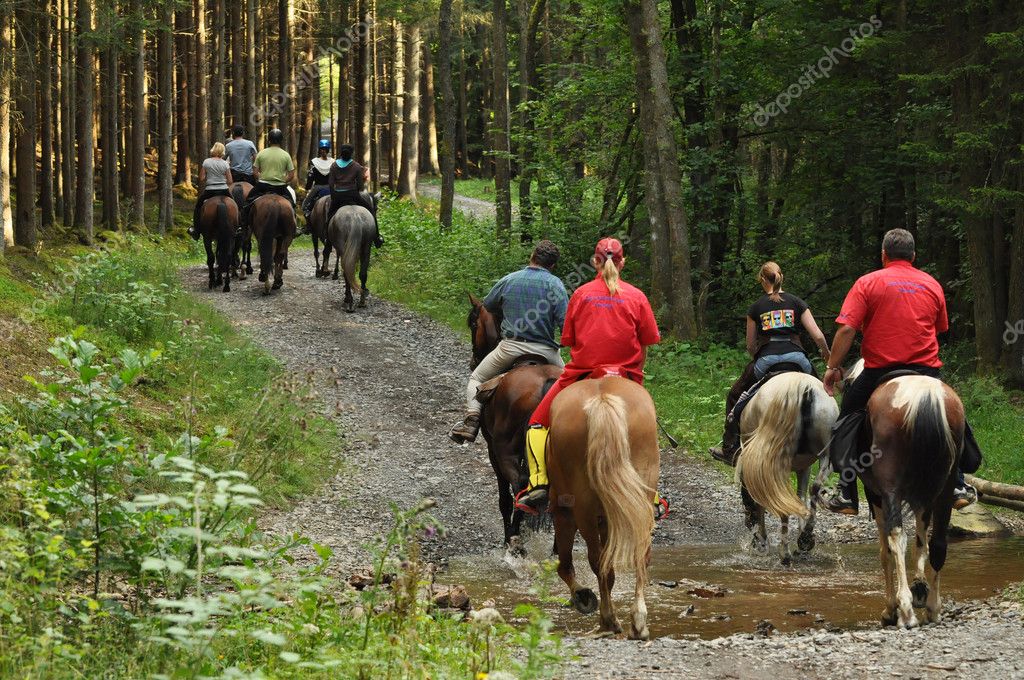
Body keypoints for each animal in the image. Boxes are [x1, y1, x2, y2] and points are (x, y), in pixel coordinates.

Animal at [468, 295, 562, 556]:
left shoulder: (493, 450)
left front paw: (510, 535)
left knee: (520, 484)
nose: (473, 361)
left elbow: (505, 498)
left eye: (472, 324)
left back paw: (515, 539)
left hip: (504, 449)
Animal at [548, 376, 658, 640]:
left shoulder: (561, 511)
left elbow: (565, 564)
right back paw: (638, 622)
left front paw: (582, 596)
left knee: (596, 560)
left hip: (582, 509)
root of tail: (602, 399)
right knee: (640, 554)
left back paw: (608, 620)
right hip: (640, 498)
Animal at [734, 371, 838, 565]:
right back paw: (805, 538)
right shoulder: (804, 468)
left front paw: (762, 542)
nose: (748, 522)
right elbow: (800, 497)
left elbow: (763, 502)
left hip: (779, 463)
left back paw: (785, 553)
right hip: (826, 454)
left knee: (782, 500)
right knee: (815, 488)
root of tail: (802, 388)